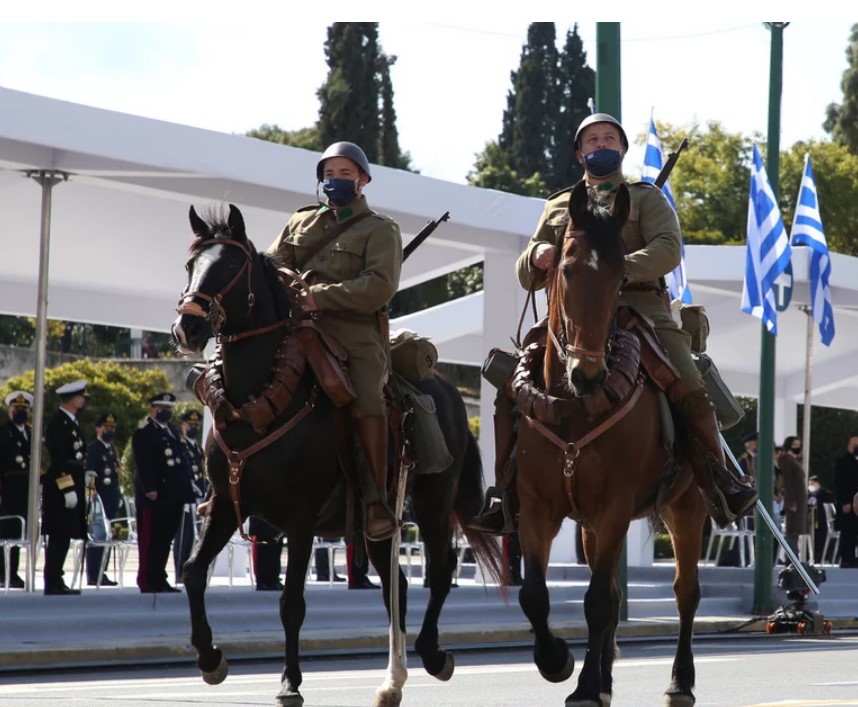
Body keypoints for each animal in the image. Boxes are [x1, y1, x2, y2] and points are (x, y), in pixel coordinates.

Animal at [171, 205, 502, 707]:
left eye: (230, 266)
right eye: (192, 264)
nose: (187, 327)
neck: (258, 400)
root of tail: (444, 384)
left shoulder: (301, 518)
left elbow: (291, 601)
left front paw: (290, 682)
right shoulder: (227, 504)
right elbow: (192, 572)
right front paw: (210, 659)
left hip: (432, 500)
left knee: (441, 568)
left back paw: (430, 654)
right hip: (375, 518)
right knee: (396, 583)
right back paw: (392, 679)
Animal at [512, 183, 704, 707]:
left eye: (621, 277)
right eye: (566, 268)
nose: (589, 373)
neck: (572, 406)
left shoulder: (615, 507)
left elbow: (597, 600)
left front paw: (582, 685)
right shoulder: (538, 508)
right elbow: (534, 594)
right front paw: (557, 661)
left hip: (687, 508)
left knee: (685, 592)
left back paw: (680, 680)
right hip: (590, 527)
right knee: (619, 598)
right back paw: (603, 679)